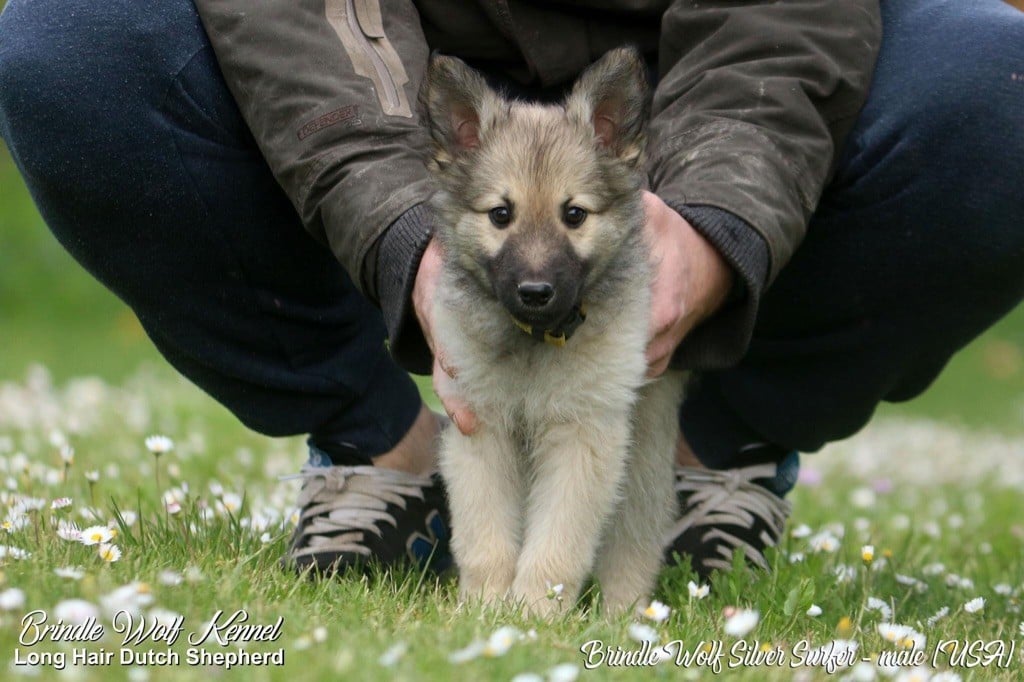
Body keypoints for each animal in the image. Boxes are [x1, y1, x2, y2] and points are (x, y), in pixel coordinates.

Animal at [419, 45, 684, 614]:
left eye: (574, 214)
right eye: (501, 214)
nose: (536, 291)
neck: (533, 341)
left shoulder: (585, 435)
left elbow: (558, 544)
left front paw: (533, 615)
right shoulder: (479, 426)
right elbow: (485, 537)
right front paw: (482, 610)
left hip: (644, 448)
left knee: (635, 537)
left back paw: (624, 618)